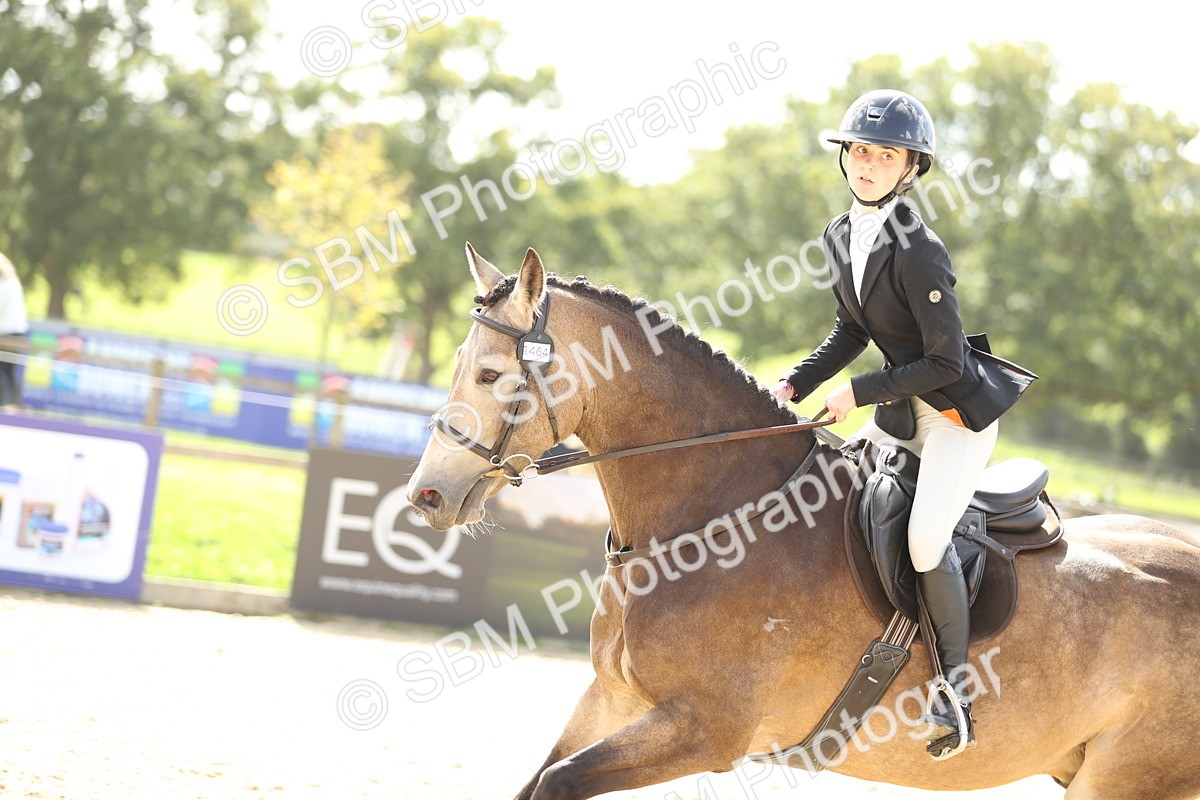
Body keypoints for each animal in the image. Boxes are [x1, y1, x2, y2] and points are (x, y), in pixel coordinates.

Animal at [407, 244, 1200, 800]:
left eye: (490, 376)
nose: (427, 496)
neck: (713, 514)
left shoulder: (704, 730)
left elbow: (558, 781)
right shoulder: (610, 700)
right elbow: (538, 778)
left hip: (1130, 779)